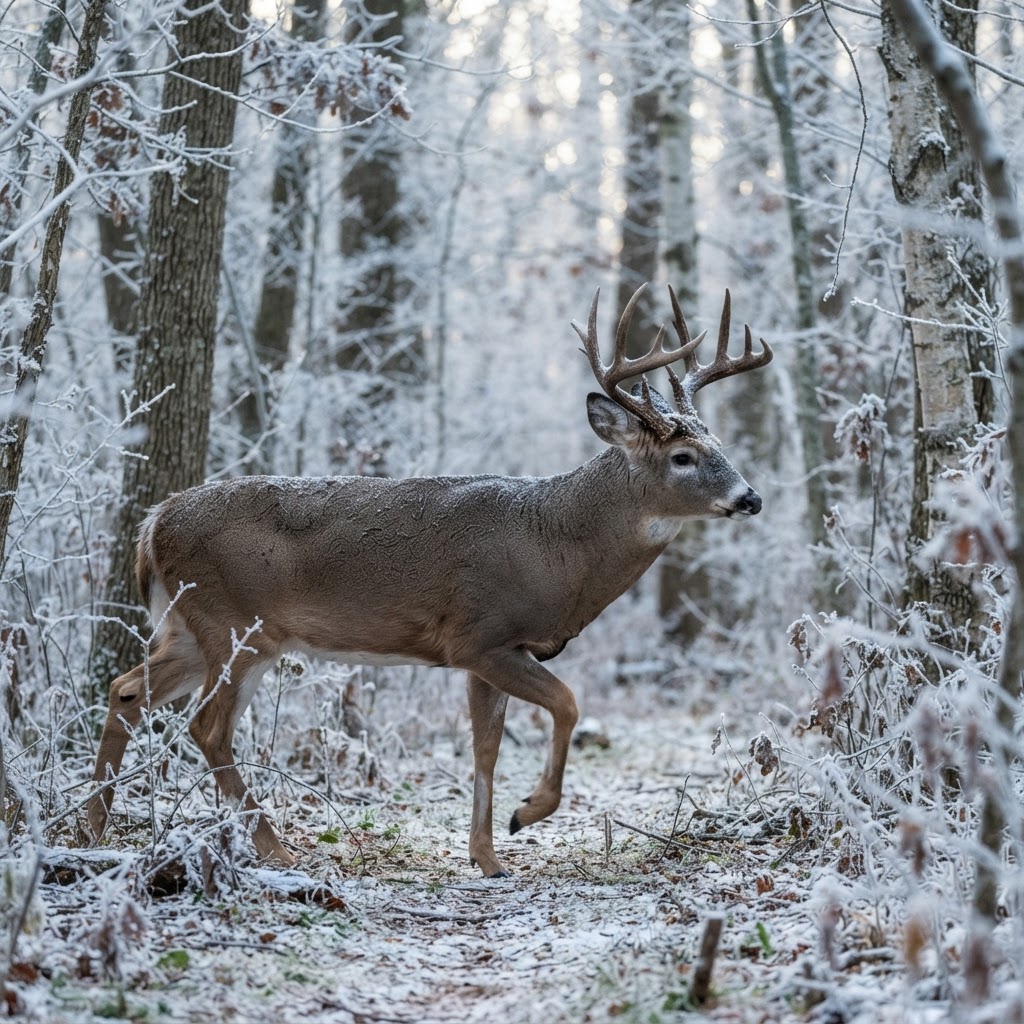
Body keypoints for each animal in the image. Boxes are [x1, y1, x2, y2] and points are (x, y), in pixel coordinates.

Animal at [86, 284, 772, 878]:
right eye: (683, 457)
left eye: (721, 443)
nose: (751, 498)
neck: (556, 545)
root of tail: (154, 523)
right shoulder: (479, 636)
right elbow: (568, 704)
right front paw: (529, 814)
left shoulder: (491, 653)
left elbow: (485, 749)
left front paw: (488, 858)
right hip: (237, 625)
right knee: (207, 728)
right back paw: (275, 849)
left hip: (190, 626)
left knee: (127, 690)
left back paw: (91, 827)